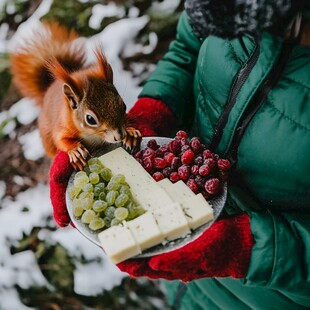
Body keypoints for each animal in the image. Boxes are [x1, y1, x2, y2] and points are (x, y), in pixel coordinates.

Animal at [9, 22, 140, 170]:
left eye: (124, 106)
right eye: (90, 119)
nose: (119, 135)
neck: (94, 136)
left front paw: (131, 133)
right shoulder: (63, 125)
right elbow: (60, 140)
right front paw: (75, 151)